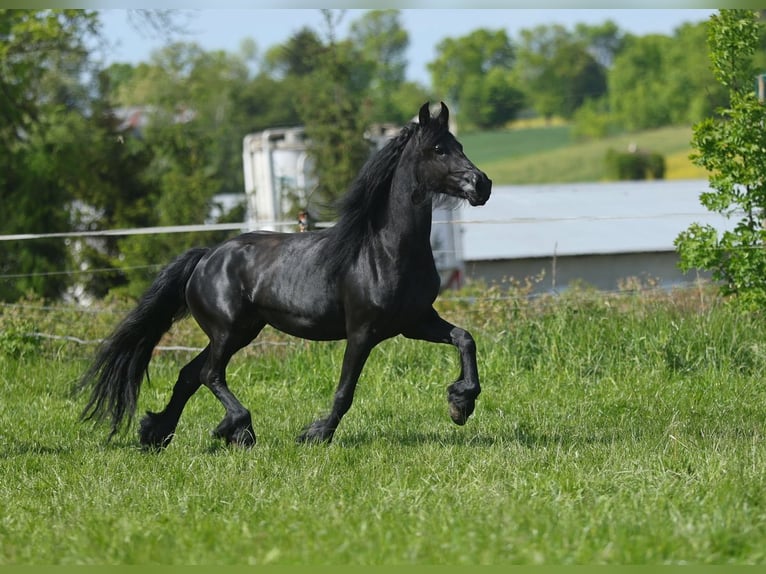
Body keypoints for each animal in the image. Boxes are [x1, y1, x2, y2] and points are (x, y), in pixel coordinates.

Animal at [79, 103, 492, 450]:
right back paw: (238, 429)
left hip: (242, 330)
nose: (482, 185)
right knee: (210, 374)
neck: (386, 250)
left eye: (458, 145)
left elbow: (464, 338)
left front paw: (460, 404)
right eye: (438, 150)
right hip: (228, 331)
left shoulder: (415, 321)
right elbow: (345, 390)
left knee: (189, 374)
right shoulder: (363, 331)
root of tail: (206, 257)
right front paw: (316, 434)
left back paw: (159, 433)